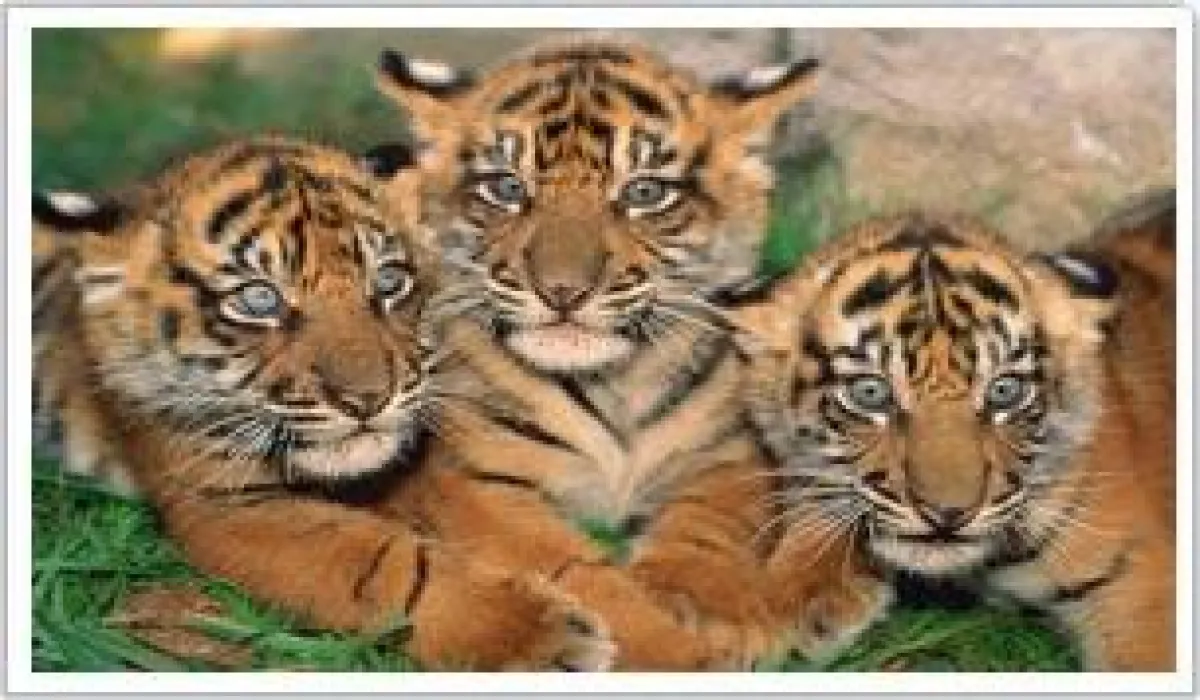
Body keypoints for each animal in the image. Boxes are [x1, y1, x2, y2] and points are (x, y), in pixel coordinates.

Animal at [31, 136, 618, 671]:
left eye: (389, 281)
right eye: (259, 299)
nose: (368, 399)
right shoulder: (225, 503)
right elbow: (387, 565)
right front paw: (545, 637)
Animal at [372, 34, 820, 668]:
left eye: (644, 193)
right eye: (507, 188)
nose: (562, 291)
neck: (618, 382)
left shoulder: (730, 455)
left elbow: (706, 530)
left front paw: (719, 612)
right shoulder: (478, 481)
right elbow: (577, 570)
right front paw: (670, 649)